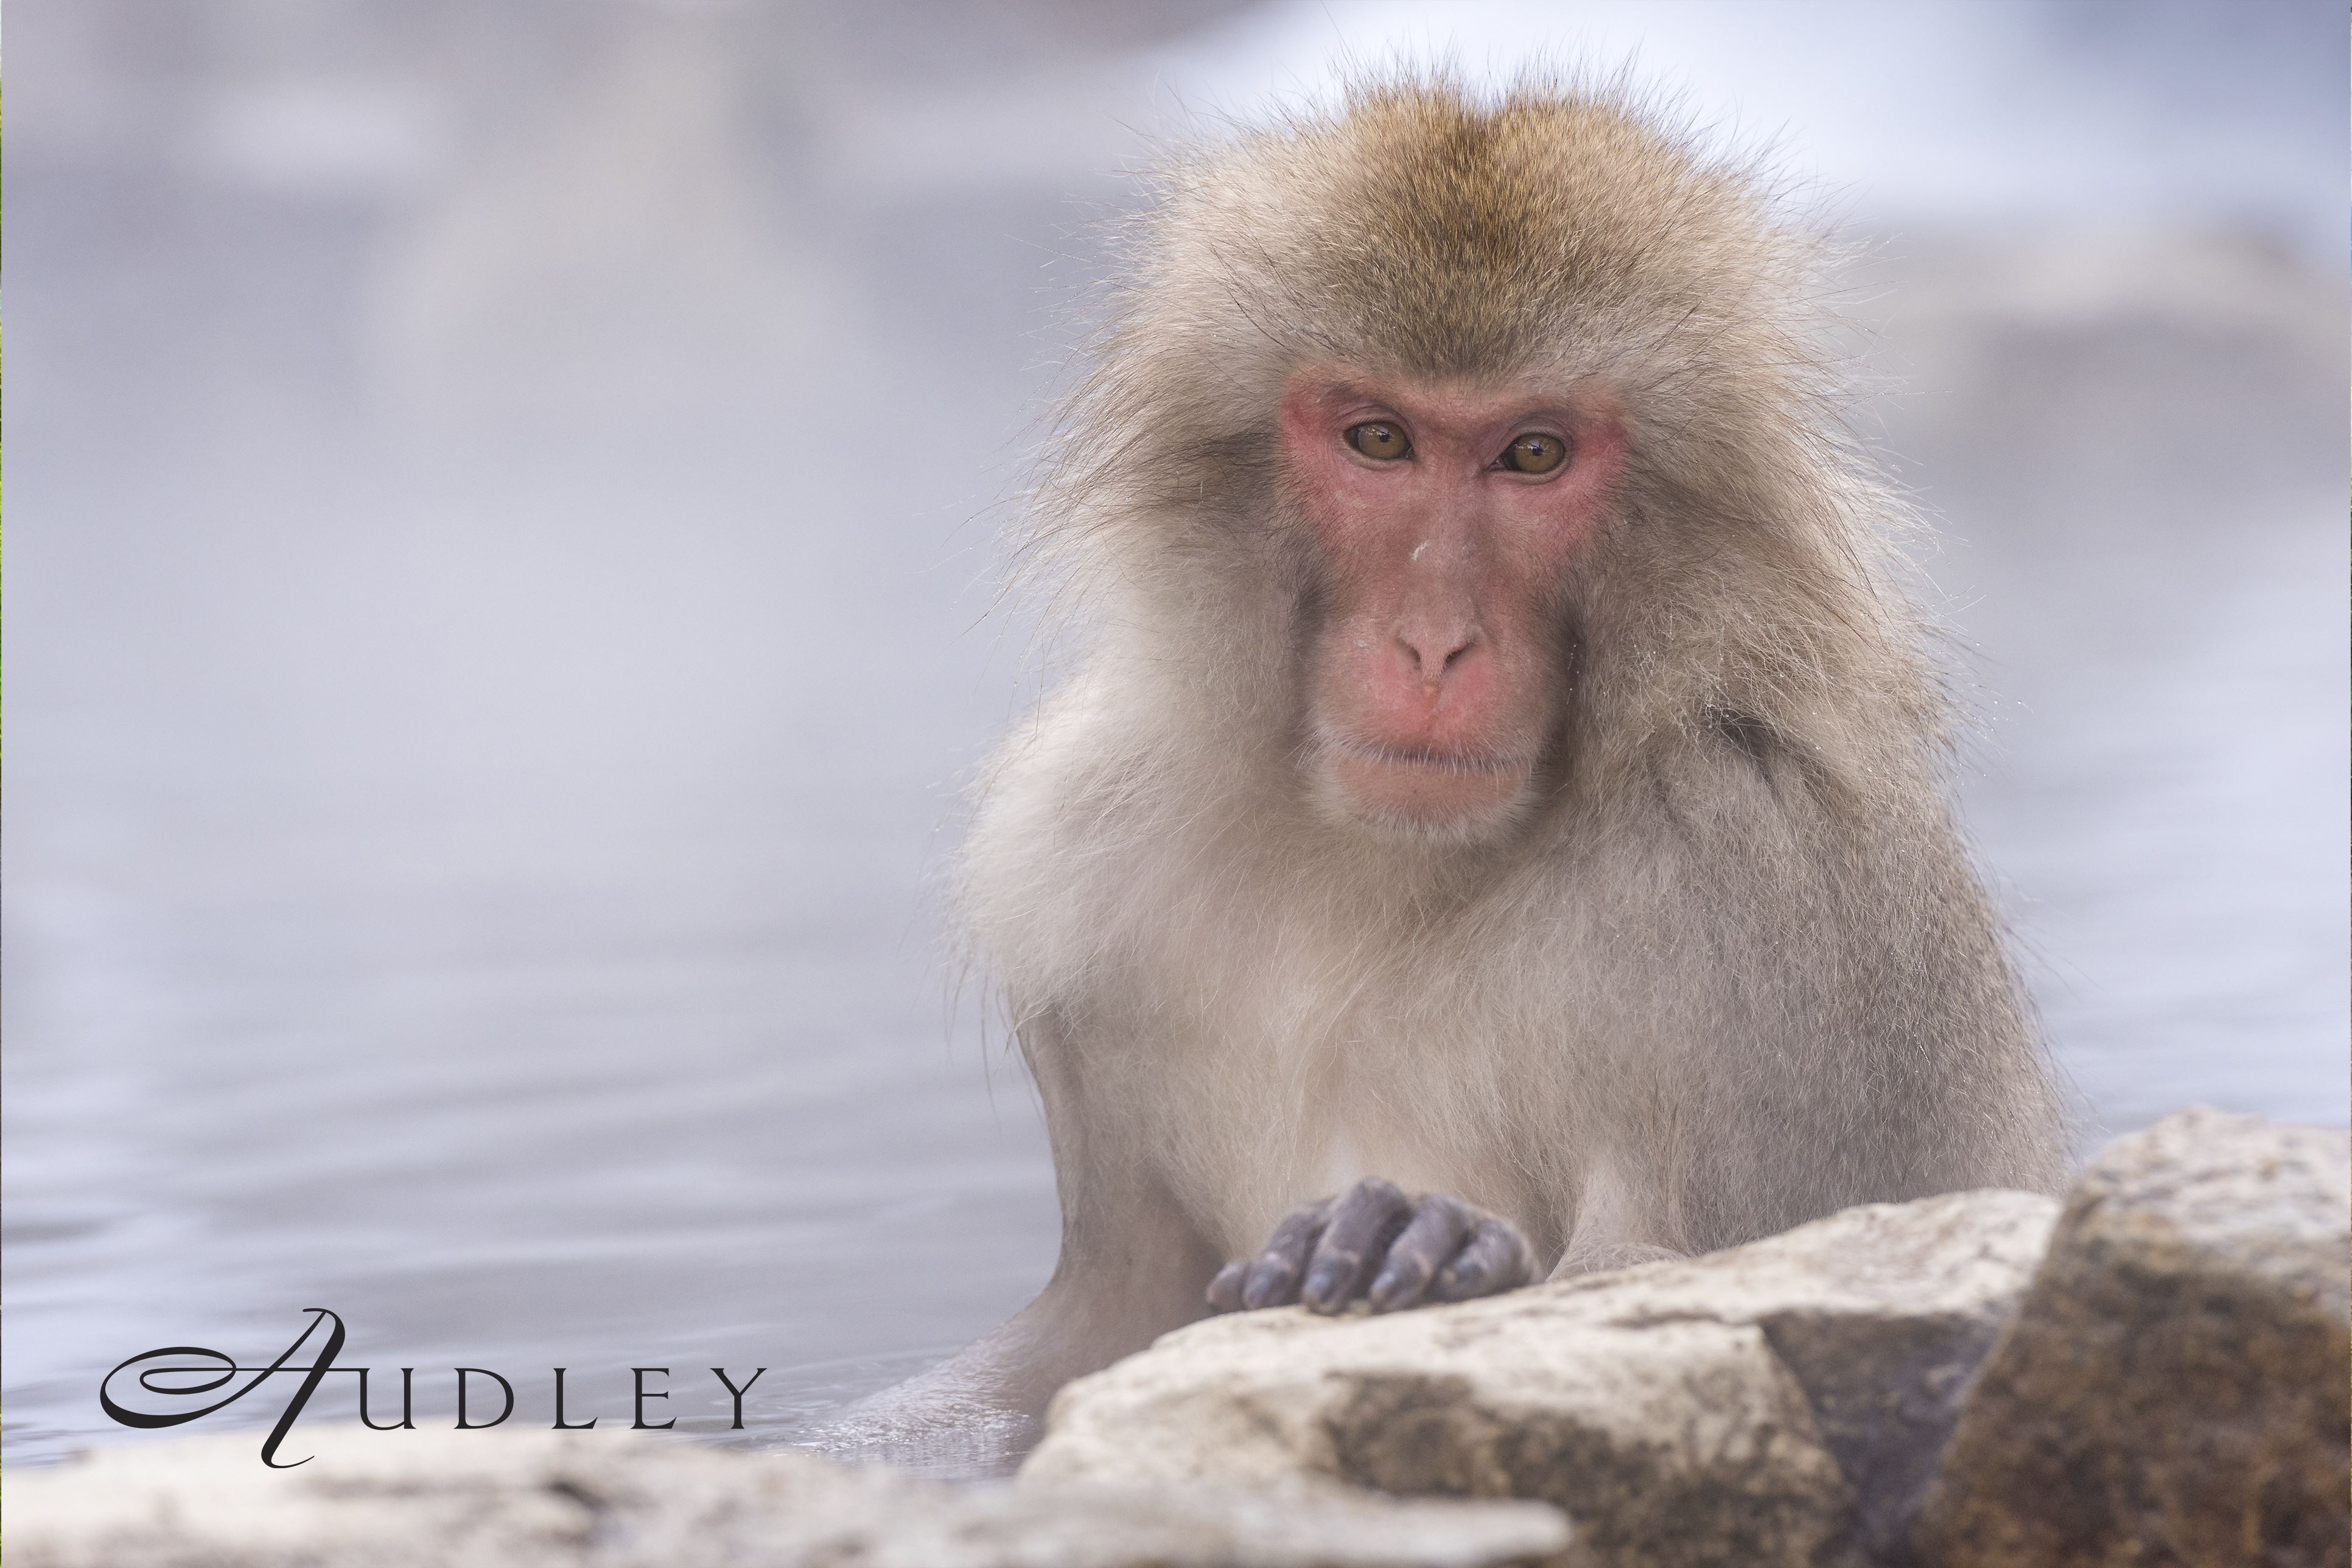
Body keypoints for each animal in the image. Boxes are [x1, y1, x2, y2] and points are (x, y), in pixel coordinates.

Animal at [844, 75, 2069, 1463]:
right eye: (1379, 438)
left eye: (1531, 455)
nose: (1433, 642)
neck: (1384, 863)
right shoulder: (1074, 862)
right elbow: (1088, 1327)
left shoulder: (1770, 888)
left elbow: (1667, 1266)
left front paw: (1419, 1244)